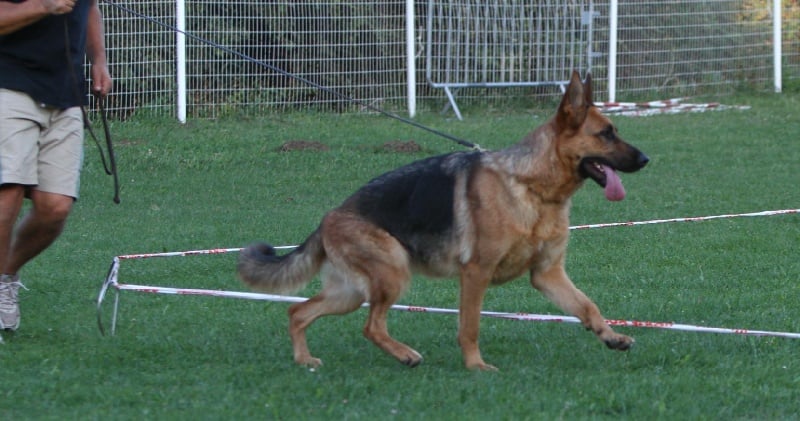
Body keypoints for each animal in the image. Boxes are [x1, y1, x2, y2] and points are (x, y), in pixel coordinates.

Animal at [238, 71, 649, 371]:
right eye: (606, 134)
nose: (646, 159)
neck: (531, 185)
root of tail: (328, 218)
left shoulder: (548, 274)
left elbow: (587, 306)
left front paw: (611, 336)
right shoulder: (476, 273)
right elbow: (470, 326)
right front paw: (476, 367)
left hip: (350, 292)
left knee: (298, 311)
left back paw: (305, 360)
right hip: (392, 273)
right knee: (371, 325)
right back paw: (405, 354)